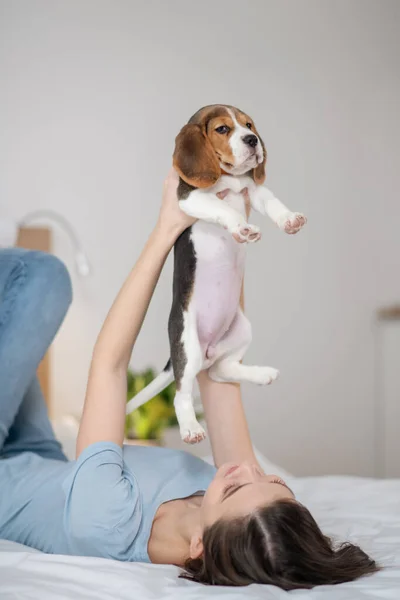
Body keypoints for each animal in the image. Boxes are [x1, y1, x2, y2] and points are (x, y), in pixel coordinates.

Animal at [126, 103, 308, 442]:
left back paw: (261, 373)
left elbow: (273, 202)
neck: (229, 177)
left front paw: (289, 219)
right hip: (188, 345)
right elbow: (224, 208)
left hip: (241, 331)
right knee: (182, 393)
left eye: (249, 125)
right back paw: (190, 428)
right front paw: (242, 228)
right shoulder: (190, 197)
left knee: (220, 370)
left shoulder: (254, 190)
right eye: (223, 129)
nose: (252, 140)